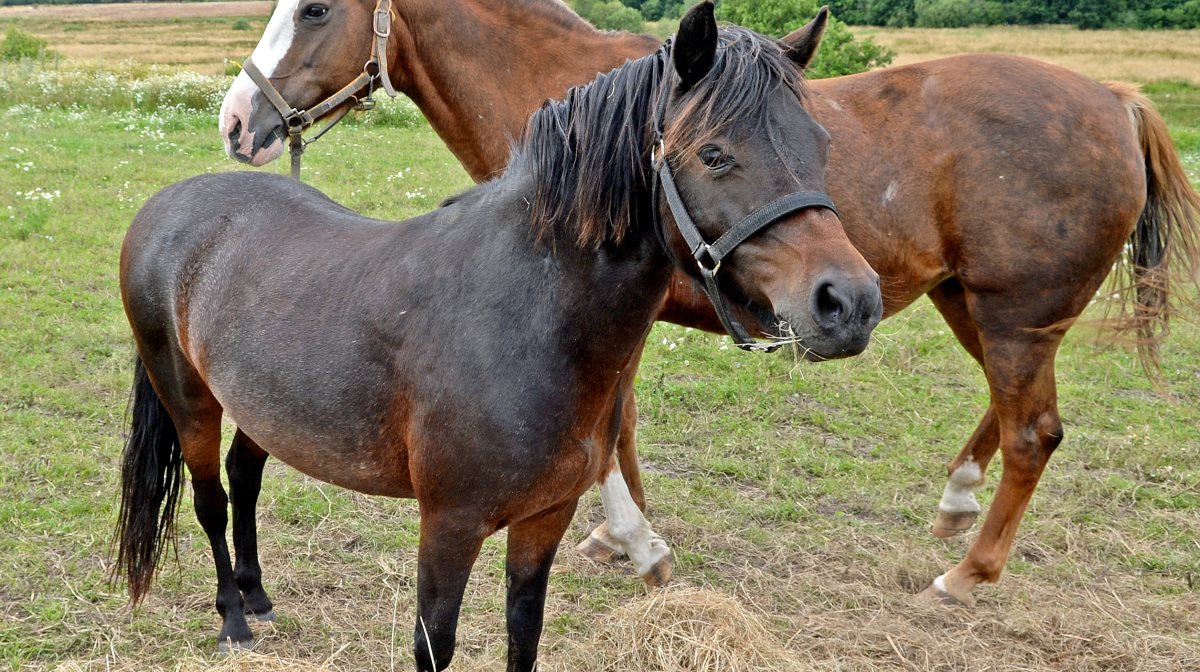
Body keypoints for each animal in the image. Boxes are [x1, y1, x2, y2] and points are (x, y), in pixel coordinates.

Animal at [114, 3, 883, 667]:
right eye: (715, 154)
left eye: (822, 145)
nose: (851, 303)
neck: (526, 314)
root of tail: (170, 202)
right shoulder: (448, 527)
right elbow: (435, 644)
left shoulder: (544, 520)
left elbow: (524, 632)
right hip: (189, 402)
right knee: (211, 499)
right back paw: (233, 619)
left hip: (262, 406)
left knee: (245, 478)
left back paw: (258, 595)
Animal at [218, 0, 1200, 607]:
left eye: (314, 10)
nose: (236, 123)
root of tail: (1116, 99)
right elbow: (619, 429)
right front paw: (621, 541)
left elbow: (612, 430)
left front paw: (639, 545)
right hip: (979, 308)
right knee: (1013, 413)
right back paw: (957, 501)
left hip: (1010, 314)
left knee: (1034, 431)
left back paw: (968, 572)